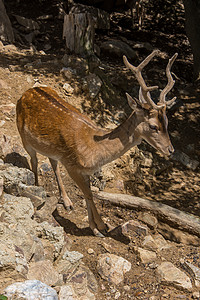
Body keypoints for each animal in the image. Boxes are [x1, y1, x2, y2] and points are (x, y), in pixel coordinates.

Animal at [16, 50, 177, 238]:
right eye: (153, 126)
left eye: (167, 122)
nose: (170, 150)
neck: (95, 150)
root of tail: (28, 91)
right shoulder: (71, 165)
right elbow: (89, 195)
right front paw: (102, 226)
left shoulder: (85, 170)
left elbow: (88, 195)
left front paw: (94, 228)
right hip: (24, 137)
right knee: (34, 160)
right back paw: (36, 187)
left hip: (51, 148)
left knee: (52, 162)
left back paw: (67, 201)